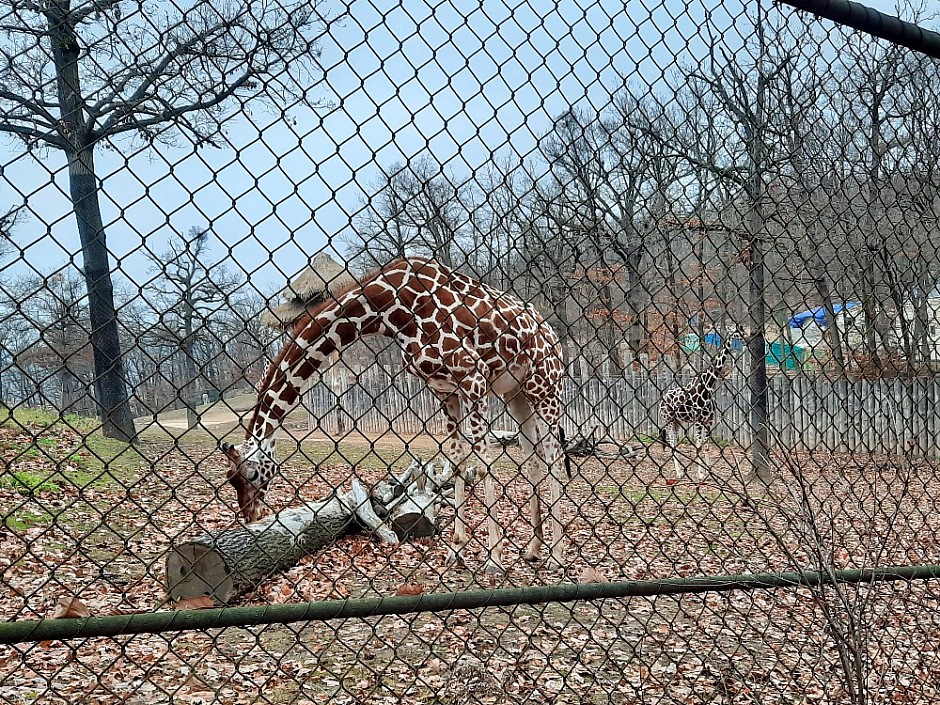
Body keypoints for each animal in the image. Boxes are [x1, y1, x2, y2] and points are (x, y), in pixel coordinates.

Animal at [220, 256, 568, 576]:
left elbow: (482, 467)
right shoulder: (446, 390)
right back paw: (534, 550)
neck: (393, 310)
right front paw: (456, 551)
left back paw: (555, 557)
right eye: (230, 479)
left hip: (546, 386)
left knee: (552, 455)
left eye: (252, 474)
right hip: (517, 395)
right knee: (534, 458)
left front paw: (493, 560)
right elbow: (456, 462)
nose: (250, 515)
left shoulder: (474, 379)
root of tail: (553, 334)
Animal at [656, 328, 744, 482]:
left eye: (742, 329)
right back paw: (679, 473)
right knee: (672, 443)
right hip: (668, 421)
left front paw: (709, 472)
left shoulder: (709, 421)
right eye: (736, 331)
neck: (707, 386)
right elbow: (698, 445)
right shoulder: (698, 420)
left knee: (675, 442)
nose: (746, 337)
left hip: (677, 421)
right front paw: (701, 474)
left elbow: (706, 446)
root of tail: (660, 403)